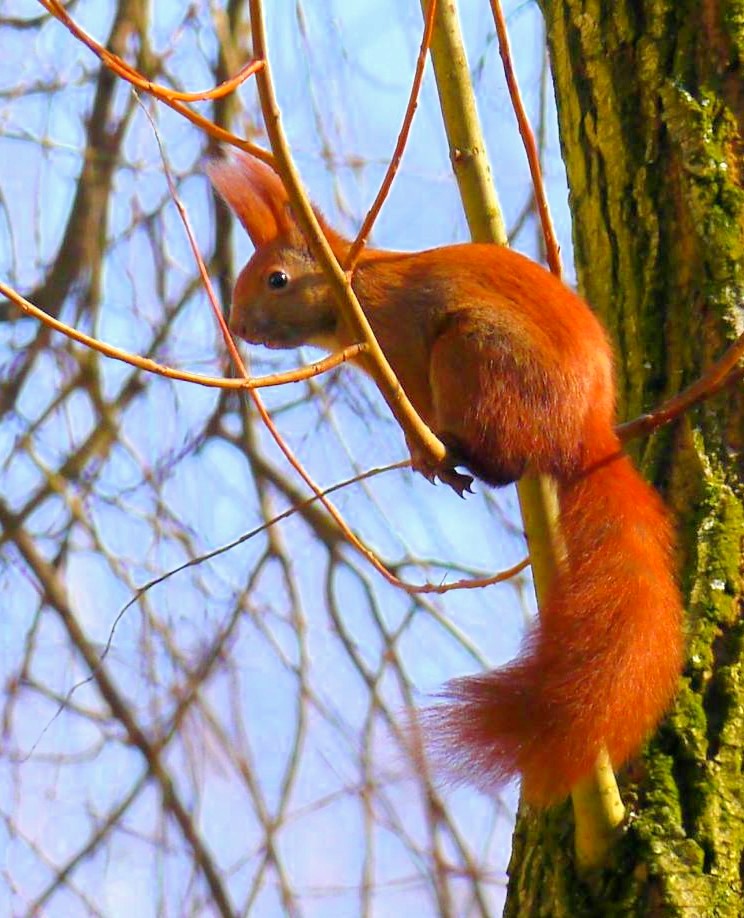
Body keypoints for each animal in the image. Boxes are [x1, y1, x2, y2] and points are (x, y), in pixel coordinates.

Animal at [209, 151, 684, 804]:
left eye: (276, 279)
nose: (238, 325)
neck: (356, 292)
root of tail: (584, 434)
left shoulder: (402, 352)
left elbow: (416, 411)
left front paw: (425, 449)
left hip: (474, 353)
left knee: (505, 460)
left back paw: (465, 454)